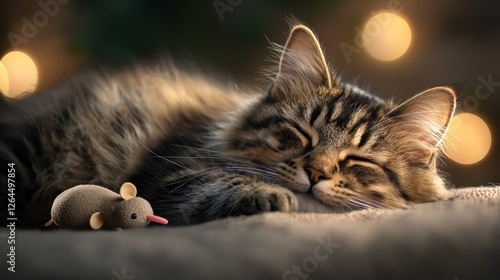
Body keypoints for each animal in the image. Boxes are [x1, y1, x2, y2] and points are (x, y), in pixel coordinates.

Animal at [0, 23, 456, 226]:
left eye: (359, 161)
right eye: (300, 135)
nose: (315, 173)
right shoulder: (168, 172)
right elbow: (222, 182)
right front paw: (270, 196)